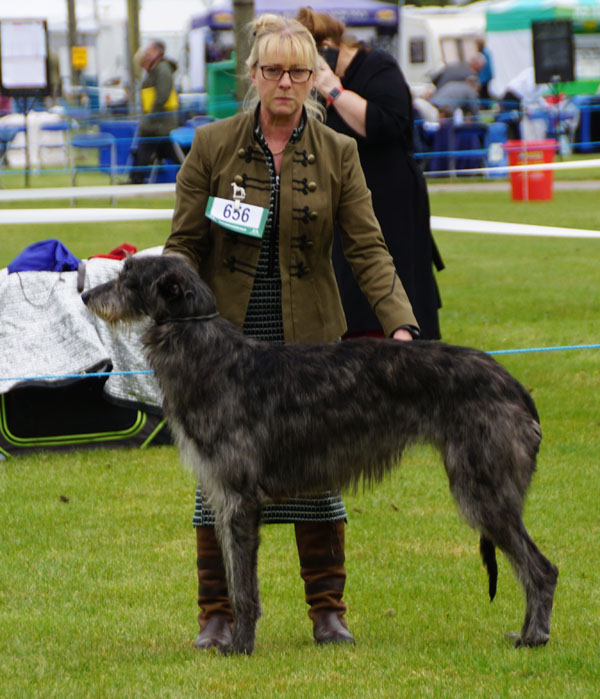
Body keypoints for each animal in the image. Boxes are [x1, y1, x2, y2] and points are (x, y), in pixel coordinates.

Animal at [83, 256, 556, 656]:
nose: (85, 295)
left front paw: (242, 647)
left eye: (128, 276)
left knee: (542, 568)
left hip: (483, 486)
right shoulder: (223, 495)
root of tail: (515, 387)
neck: (206, 349)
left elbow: (244, 587)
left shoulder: (240, 498)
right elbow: (233, 576)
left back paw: (533, 637)